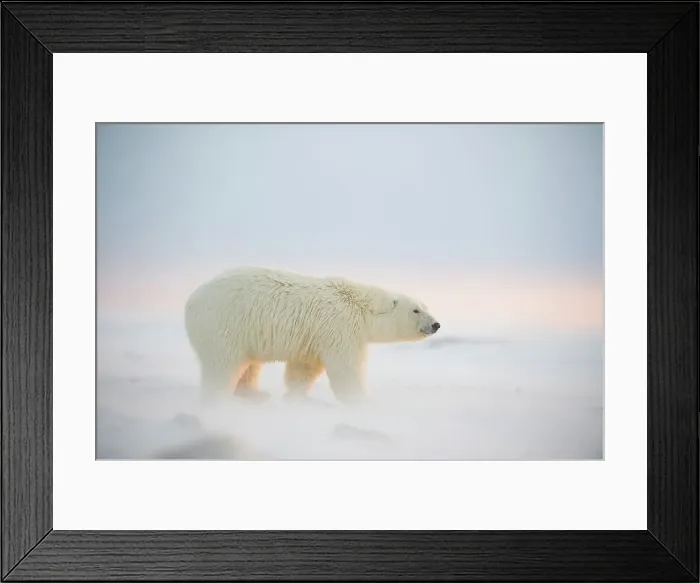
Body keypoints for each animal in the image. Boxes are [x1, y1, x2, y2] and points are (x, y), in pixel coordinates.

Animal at [184, 266, 440, 405]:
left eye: (426, 306)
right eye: (416, 310)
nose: (436, 324)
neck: (359, 304)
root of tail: (192, 300)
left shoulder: (315, 336)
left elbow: (304, 367)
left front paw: (297, 396)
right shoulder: (339, 327)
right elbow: (345, 367)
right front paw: (362, 400)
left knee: (249, 365)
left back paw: (256, 394)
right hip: (225, 325)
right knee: (223, 364)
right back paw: (219, 397)